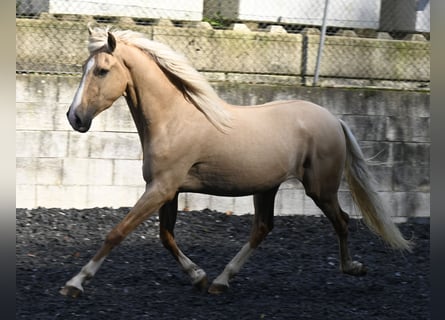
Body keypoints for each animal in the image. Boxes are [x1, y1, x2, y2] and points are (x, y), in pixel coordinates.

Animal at [60, 26, 412, 298]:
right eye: (83, 68)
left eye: (102, 70)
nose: (74, 118)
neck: (174, 119)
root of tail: (334, 119)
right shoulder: (167, 191)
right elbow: (165, 236)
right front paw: (198, 276)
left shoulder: (161, 188)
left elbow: (117, 232)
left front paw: (74, 283)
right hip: (267, 187)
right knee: (262, 228)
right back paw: (220, 281)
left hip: (320, 188)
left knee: (342, 221)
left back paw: (353, 267)